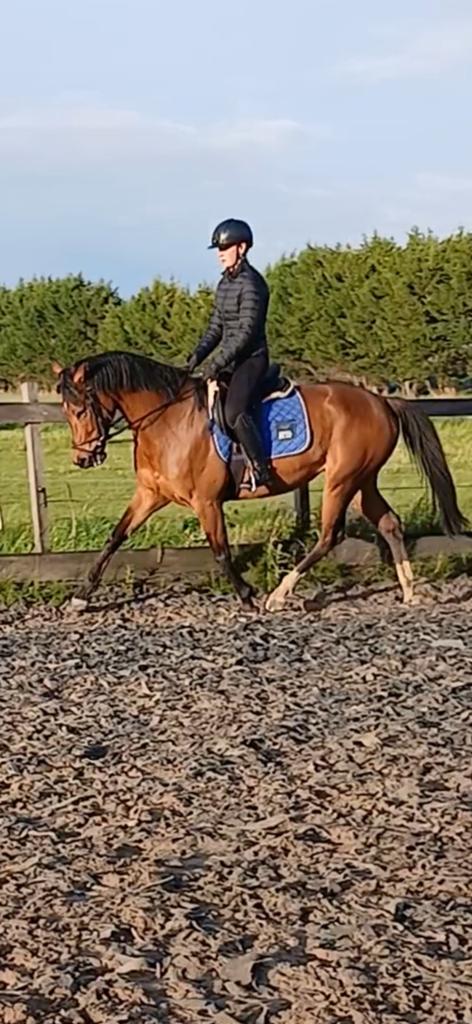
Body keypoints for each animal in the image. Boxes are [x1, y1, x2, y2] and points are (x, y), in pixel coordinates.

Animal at [52, 350, 467, 611]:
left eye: (79, 409)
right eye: (66, 411)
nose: (83, 457)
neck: (168, 420)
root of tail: (382, 402)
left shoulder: (207, 502)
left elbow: (221, 551)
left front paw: (247, 595)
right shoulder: (150, 494)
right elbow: (114, 538)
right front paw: (80, 597)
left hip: (341, 480)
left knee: (329, 536)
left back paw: (279, 595)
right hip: (363, 480)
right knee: (390, 524)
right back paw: (409, 591)